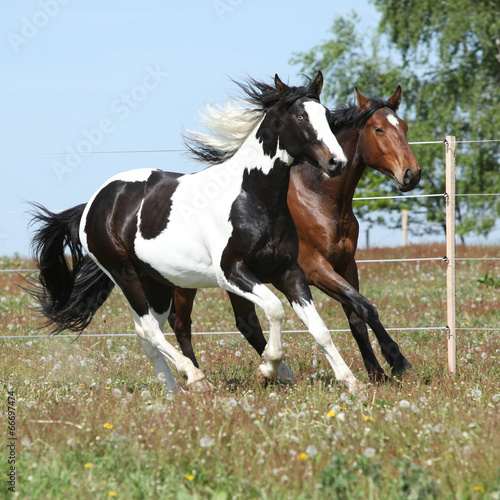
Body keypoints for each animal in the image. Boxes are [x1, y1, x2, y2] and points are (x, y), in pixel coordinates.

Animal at [28, 72, 368, 394]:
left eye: (325, 113)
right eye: (300, 116)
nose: (337, 162)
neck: (252, 197)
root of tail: (95, 202)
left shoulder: (289, 271)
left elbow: (318, 328)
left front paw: (351, 382)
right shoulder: (231, 273)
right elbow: (274, 308)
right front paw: (270, 366)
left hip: (156, 281)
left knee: (146, 333)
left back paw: (174, 392)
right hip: (124, 274)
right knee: (149, 329)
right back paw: (194, 377)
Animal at [169, 86, 422, 382]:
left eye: (404, 127)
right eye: (378, 129)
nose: (411, 174)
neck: (319, 198)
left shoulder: (346, 264)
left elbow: (357, 316)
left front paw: (376, 372)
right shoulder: (316, 269)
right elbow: (366, 307)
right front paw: (398, 362)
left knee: (246, 323)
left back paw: (277, 372)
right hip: (185, 281)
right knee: (181, 324)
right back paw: (198, 376)